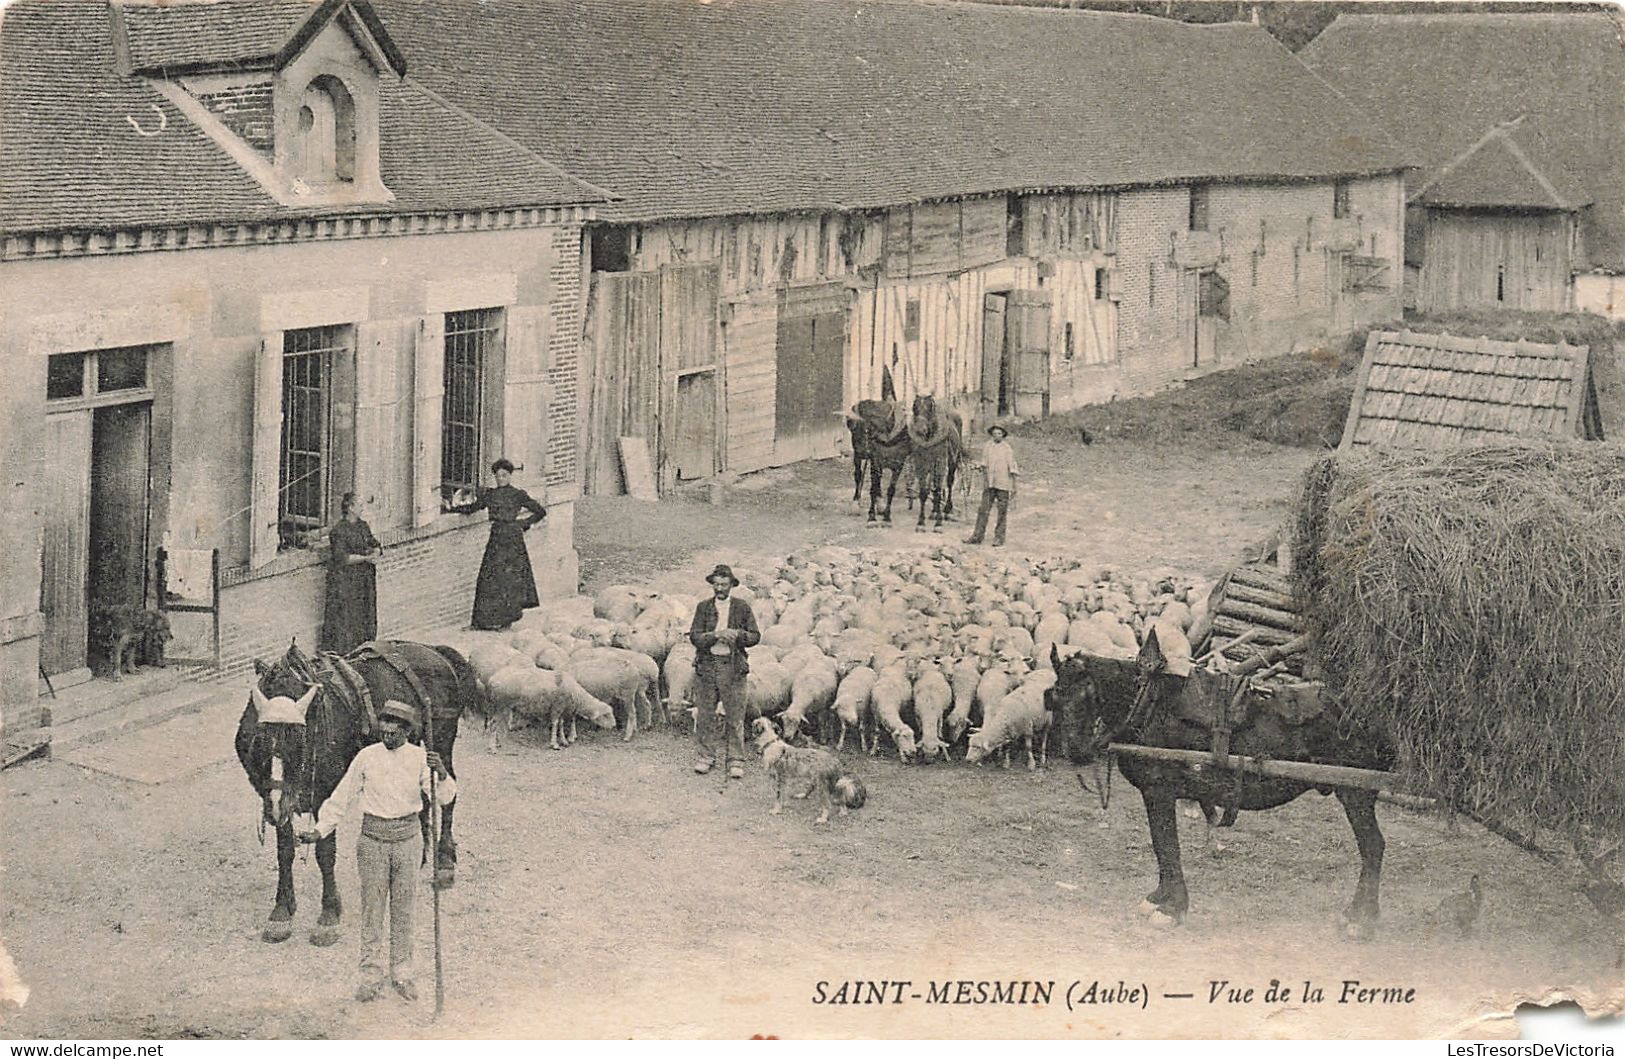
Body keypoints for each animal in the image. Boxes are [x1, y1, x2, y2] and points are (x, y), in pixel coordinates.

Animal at [234, 636, 481, 942]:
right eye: (258, 739)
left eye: (300, 738)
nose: (277, 806)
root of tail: (432, 650)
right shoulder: (278, 799)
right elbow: (285, 850)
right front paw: (282, 911)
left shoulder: (324, 795)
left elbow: (324, 852)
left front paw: (328, 914)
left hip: (443, 737)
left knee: (448, 792)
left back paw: (444, 861)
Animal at [903, 394, 962, 532]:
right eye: (914, 407)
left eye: (930, 409)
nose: (919, 430)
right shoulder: (920, 463)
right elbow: (924, 492)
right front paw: (921, 522)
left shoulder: (940, 462)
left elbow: (940, 490)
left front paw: (938, 524)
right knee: (934, 484)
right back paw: (934, 511)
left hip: (952, 461)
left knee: (949, 482)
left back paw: (947, 510)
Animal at [1053, 633, 1397, 942]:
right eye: (1055, 694)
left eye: (1088, 691)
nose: (1076, 751)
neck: (1149, 706)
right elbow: (1161, 846)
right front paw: (1159, 899)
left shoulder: (1159, 790)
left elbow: (1167, 845)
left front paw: (1171, 909)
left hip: (1356, 793)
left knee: (1373, 847)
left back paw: (1361, 920)